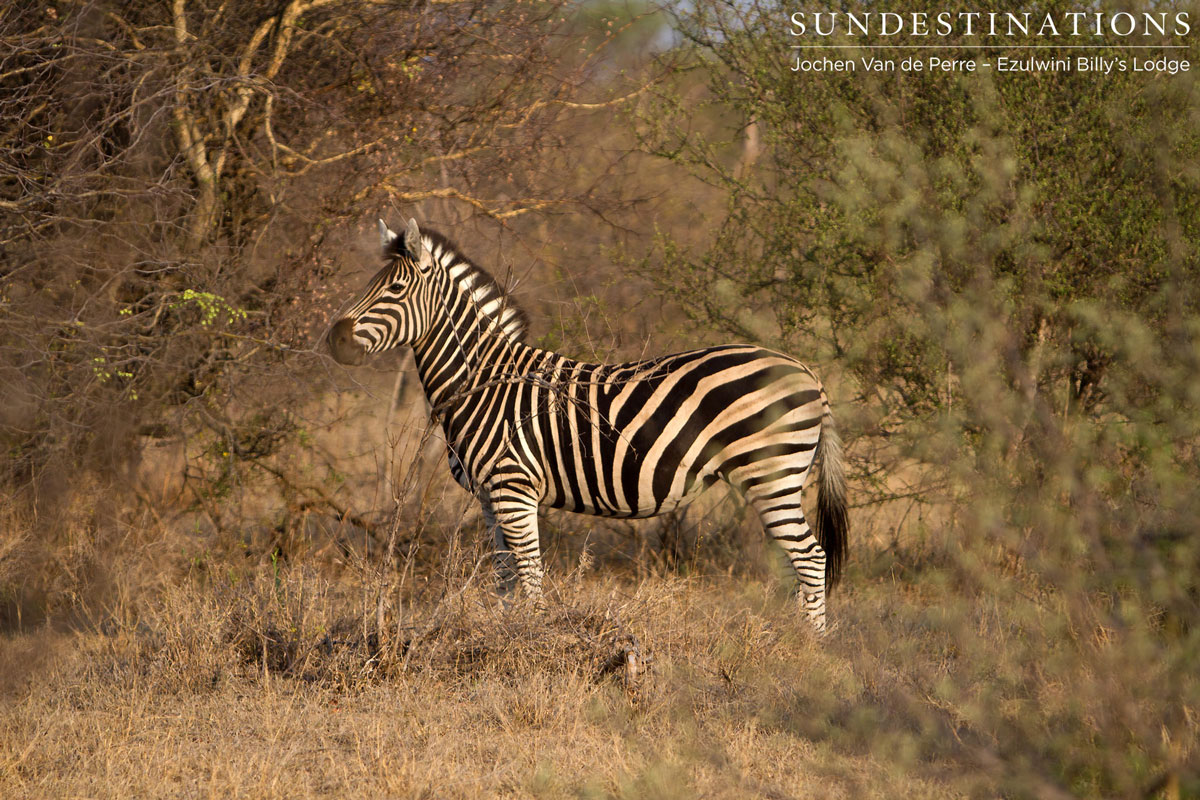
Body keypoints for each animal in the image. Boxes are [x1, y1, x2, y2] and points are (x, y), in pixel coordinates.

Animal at [328, 219, 848, 632]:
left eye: (394, 291)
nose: (335, 339)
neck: (484, 381)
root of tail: (807, 372)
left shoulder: (515, 489)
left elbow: (530, 574)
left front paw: (531, 641)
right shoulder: (491, 497)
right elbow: (503, 574)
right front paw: (505, 631)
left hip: (771, 474)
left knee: (811, 557)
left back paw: (810, 647)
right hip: (779, 477)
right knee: (802, 561)